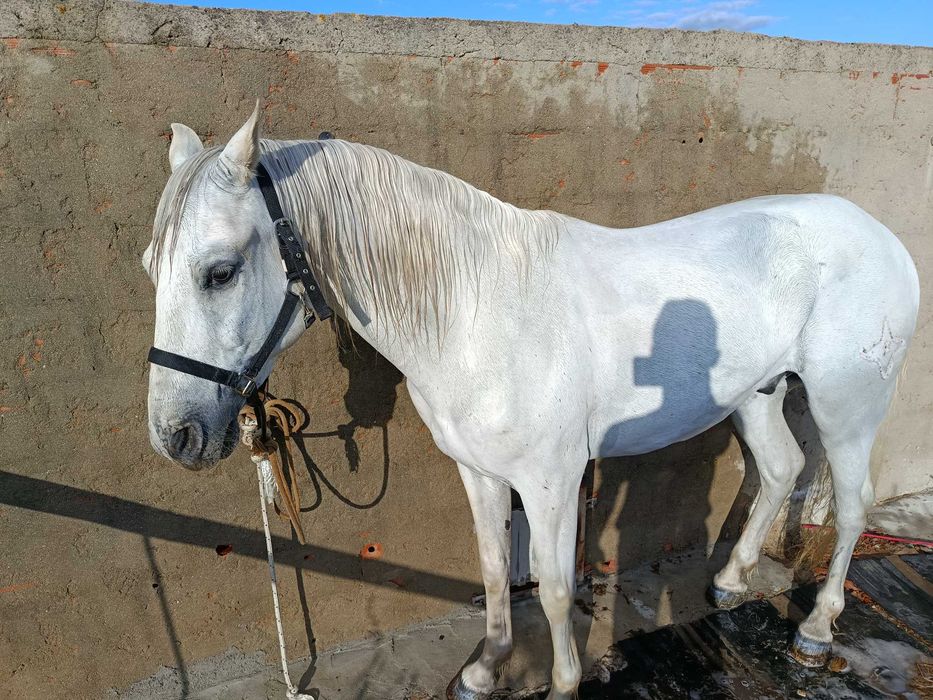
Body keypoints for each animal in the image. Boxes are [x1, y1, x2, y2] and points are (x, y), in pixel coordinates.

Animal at [143, 104, 919, 699]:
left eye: (220, 272)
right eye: (153, 267)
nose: (175, 436)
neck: (476, 309)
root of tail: (879, 234)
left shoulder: (551, 481)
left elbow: (550, 587)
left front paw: (562, 683)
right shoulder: (480, 472)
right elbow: (492, 571)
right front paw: (483, 671)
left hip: (847, 408)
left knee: (852, 506)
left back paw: (815, 631)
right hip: (757, 393)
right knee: (782, 469)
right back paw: (729, 581)